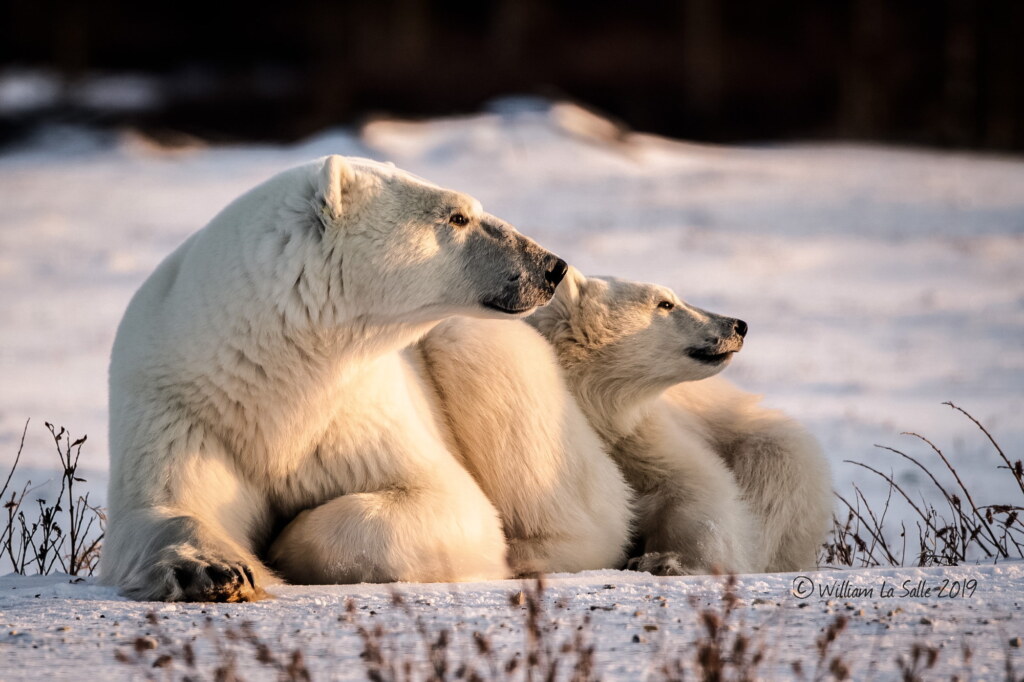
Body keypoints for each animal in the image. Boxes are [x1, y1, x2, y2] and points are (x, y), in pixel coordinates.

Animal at [102, 155, 569, 601]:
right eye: (457, 216)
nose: (553, 267)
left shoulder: (354, 416)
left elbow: (448, 501)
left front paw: (281, 547)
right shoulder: (180, 407)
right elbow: (167, 504)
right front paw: (214, 571)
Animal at [527, 267, 832, 575]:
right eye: (665, 303)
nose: (738, 325)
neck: (598, 406)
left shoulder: (643, 429)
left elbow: (695, 484)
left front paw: (668, 561)